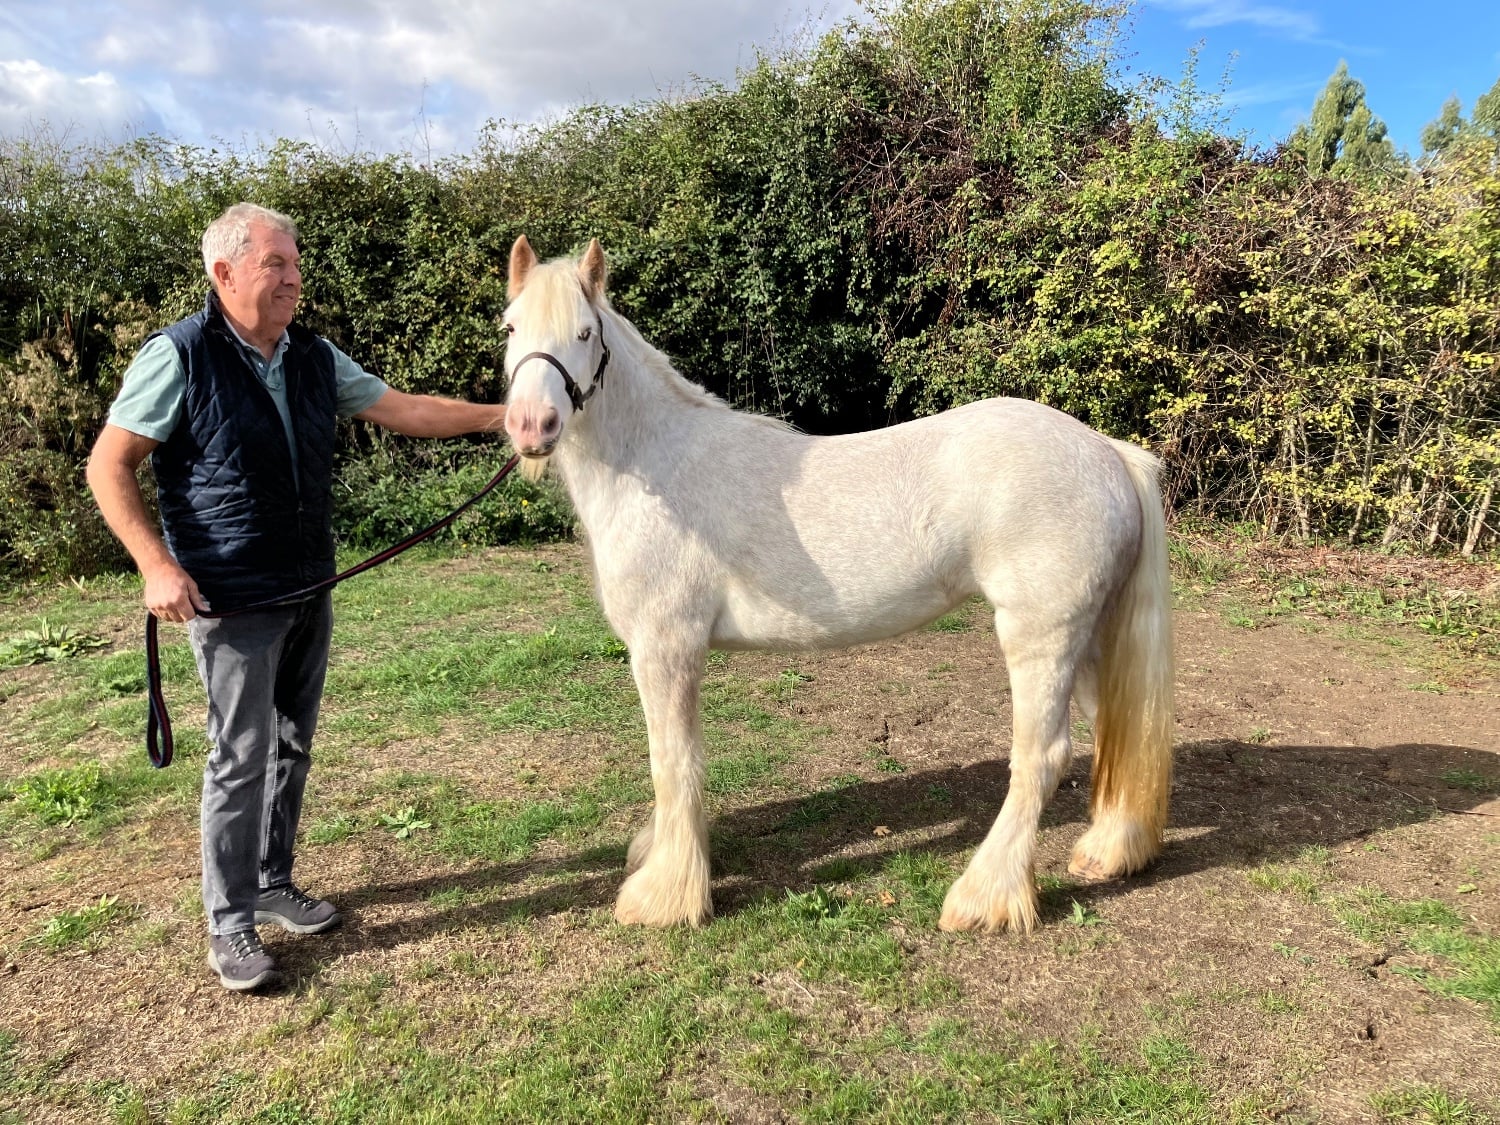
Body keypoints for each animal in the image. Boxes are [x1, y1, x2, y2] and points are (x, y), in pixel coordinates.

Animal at [500, 235, 1175, 934]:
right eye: (511, 327)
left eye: (584, 333)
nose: (532, 425)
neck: (656, 468)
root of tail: (1108, 453)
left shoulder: (666, 647)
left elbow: (673, 762)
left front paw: (664, 895)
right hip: (1085, 637)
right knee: (1109, 728)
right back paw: (1108, 852)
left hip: (1039, 635)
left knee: (1042, 755)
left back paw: (981, 897)